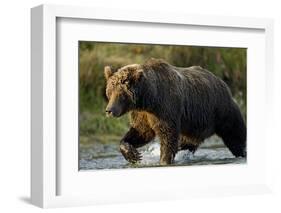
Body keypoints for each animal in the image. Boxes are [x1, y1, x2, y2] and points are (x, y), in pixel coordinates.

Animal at [103, 57, 245, 165]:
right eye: (109, 92)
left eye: (121, 94)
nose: (109, 110)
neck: (149, 98)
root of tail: (222, 82)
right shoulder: (143, 114)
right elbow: (141, 132)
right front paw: (133, 154)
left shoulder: (166, 108)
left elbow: (168, 136)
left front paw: (163, 160)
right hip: (194, 126)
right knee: (187, 143)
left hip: (222, 111)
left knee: (235, 136)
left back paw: (242, 153)